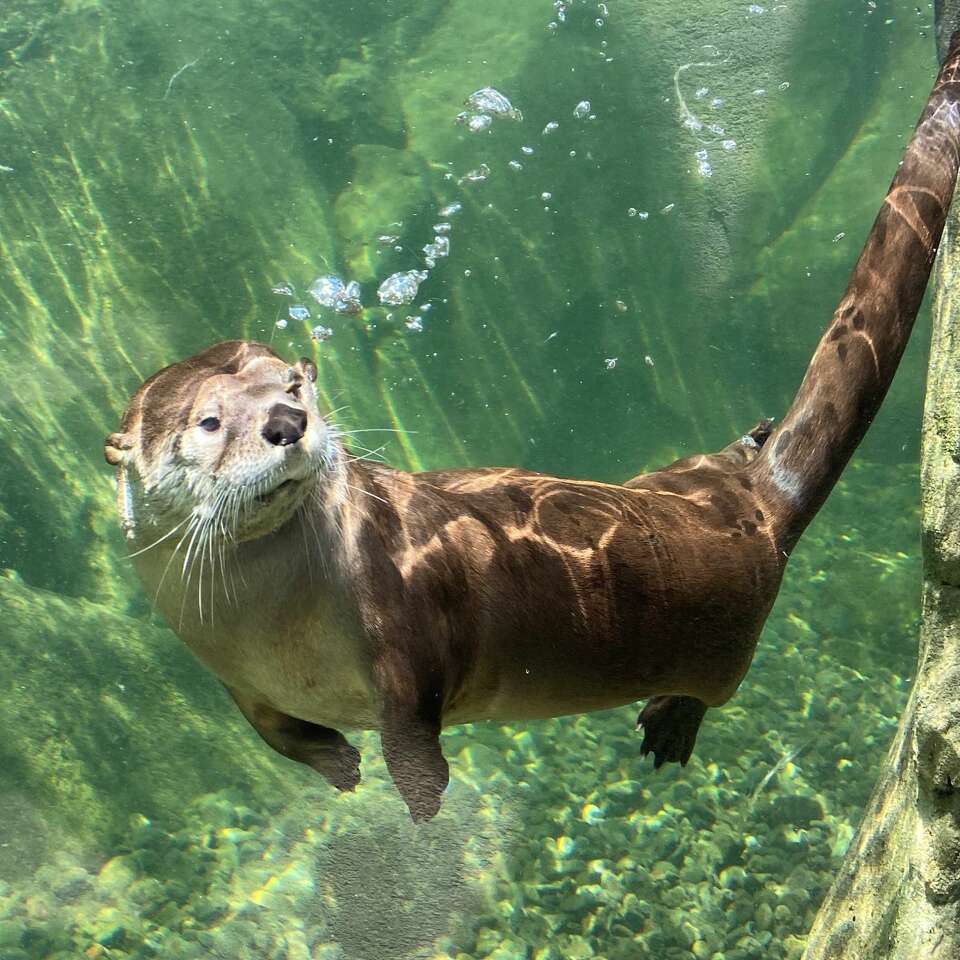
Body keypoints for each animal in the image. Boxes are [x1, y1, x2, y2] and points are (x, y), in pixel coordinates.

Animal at [106, 37, 960, 821]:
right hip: (681, 484)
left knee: (714, 685)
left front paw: (418, 794)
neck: (276, 624)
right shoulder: (232, 677)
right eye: (211, 420)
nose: (288, 422)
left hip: (728, 641)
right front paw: (339, 766)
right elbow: (276, 736)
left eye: (292, 385)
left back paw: (670, 722)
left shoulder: (400, 621)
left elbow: (412, 720)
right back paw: (744, 441)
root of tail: (760, 509)